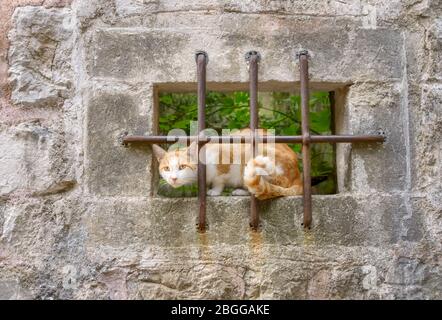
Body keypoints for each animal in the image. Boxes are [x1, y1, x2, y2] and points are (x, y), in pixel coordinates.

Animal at [150, 128, 302, 200]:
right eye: (166, 169)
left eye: (182, 167)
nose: (173, 178)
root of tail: (298, 176)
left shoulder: (224, 158)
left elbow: (219, 179)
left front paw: (215, 191)